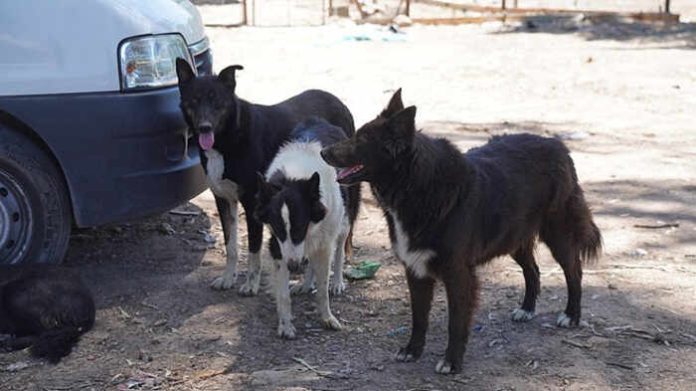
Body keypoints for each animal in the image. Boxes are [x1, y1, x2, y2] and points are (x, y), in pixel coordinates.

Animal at [174, 59, 358, 296]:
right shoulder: (223, 199)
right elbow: (231, 246)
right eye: (195, 100)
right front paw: (228, 278)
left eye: (217, 101)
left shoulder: (253, 203)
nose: (204, 127)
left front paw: (251, 284)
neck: (229, 138)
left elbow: (253, 249)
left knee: (341, 239)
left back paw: (336, 281)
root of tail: (339, 101)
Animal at [256, 118, 358, 338]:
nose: (294, 267)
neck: (294, 177)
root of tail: (321, 121)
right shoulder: (278, 246)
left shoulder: (324, 240)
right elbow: (283, 294)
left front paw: (327, 317)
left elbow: (323, 288)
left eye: (299, 227)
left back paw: (337, 282)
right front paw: (285, 325)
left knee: (339, 249)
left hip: (344, 220)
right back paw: (305, 284)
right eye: (279, 230)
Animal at [320, 90, 600, 376]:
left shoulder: (458, 273)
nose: (322, 151)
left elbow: (456, 322)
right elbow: (419, 317)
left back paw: (572, 315)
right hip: (514, 239)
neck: (416, 187)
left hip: (558, 235)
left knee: (574, 271)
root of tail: (557, 145)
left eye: (362, 140)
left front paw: (452, 361)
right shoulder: (416, 269)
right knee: (532, 270)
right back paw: (526, 309)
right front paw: (412, 350)